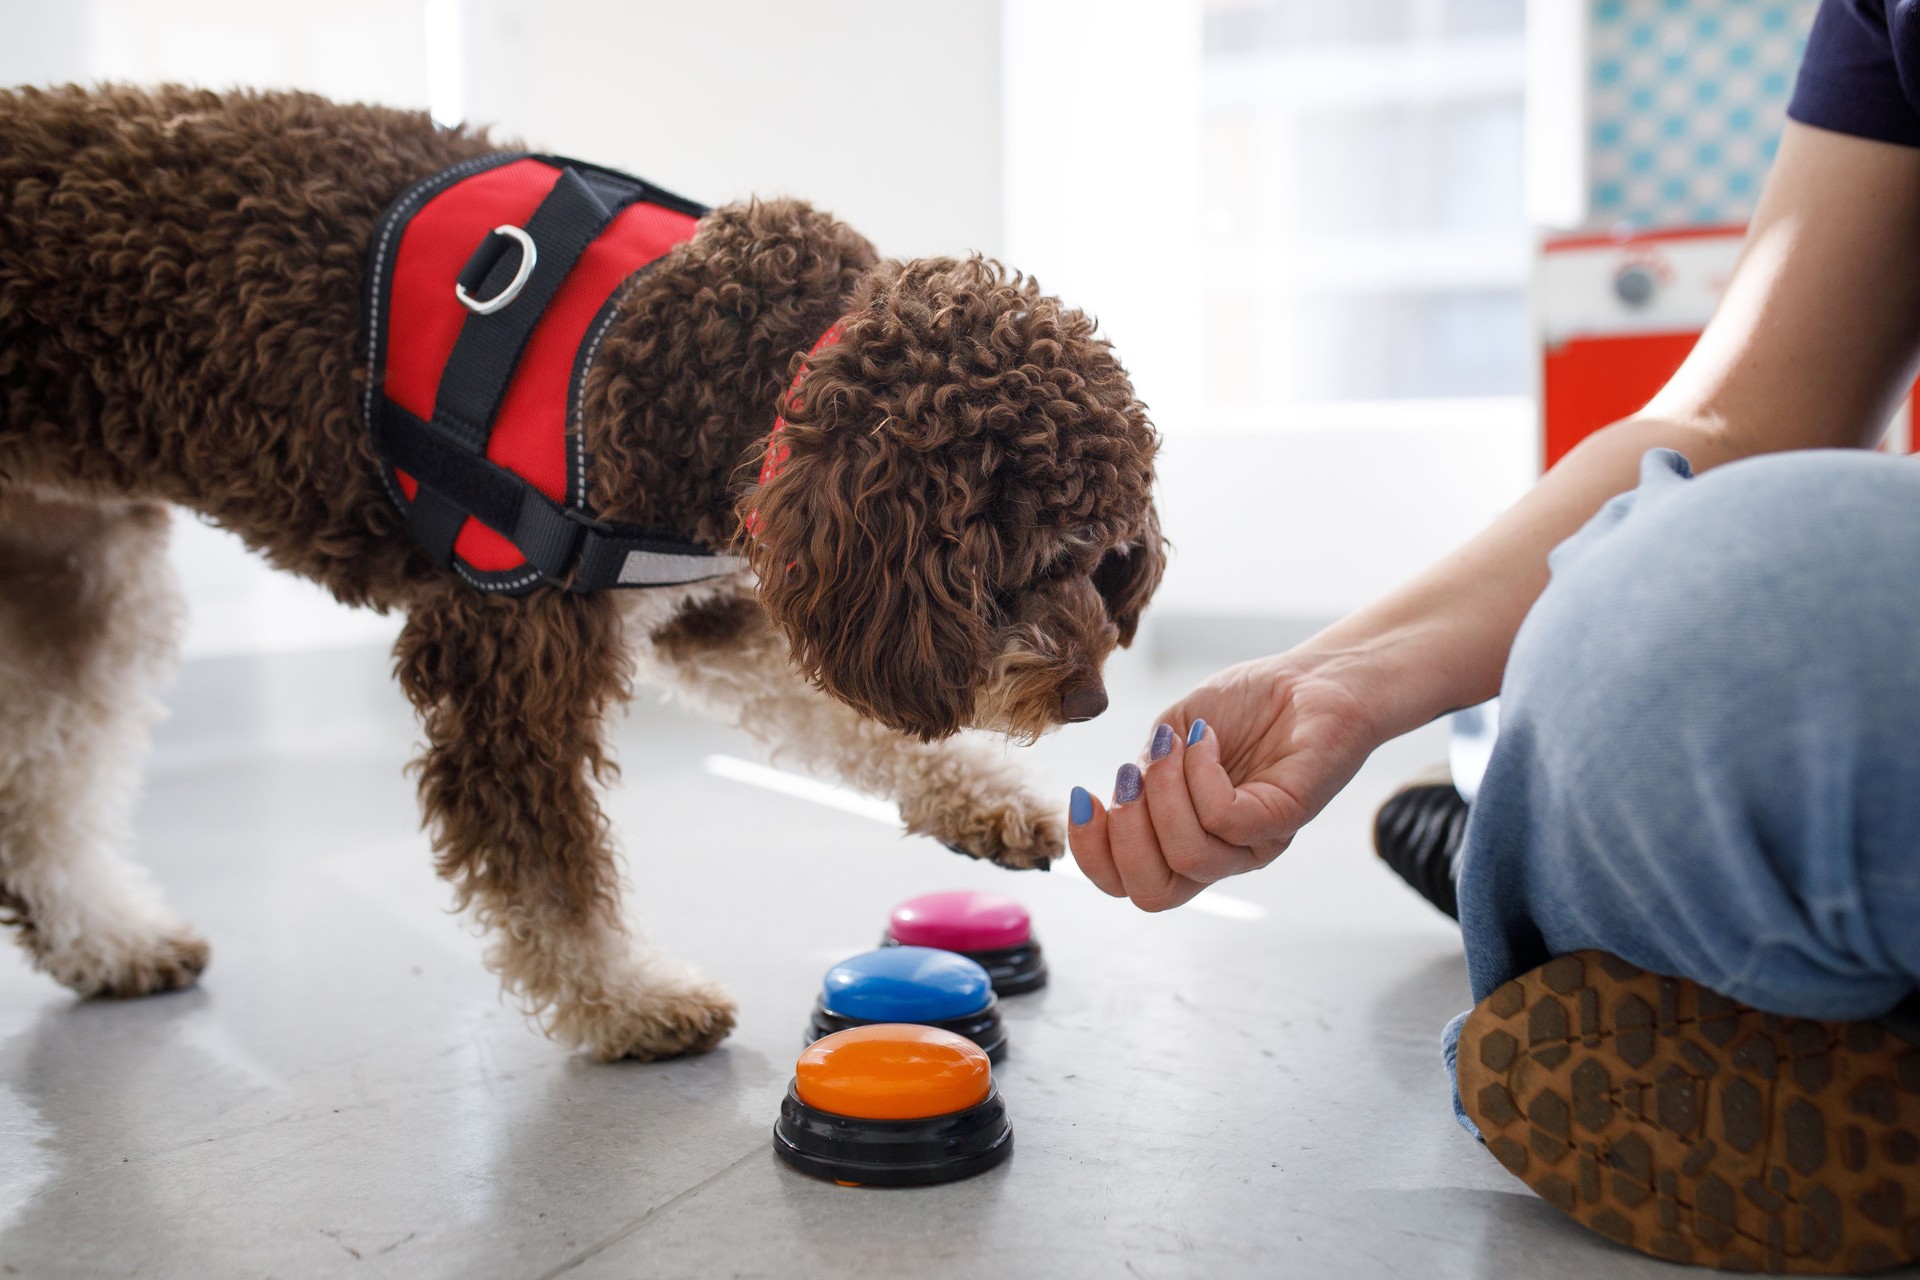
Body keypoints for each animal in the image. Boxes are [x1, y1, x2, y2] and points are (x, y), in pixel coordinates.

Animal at [0, 82, 1159, 1059]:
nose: (1094, 698)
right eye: (1025, 564)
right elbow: (546, 875)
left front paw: (983, 800)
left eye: (1104, 557)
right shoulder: (506, 657)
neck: (712, 361)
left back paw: (106, 940)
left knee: (39, 797)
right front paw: (630, 999)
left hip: (80, 577)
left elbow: (843, 720)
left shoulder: (708, 606)